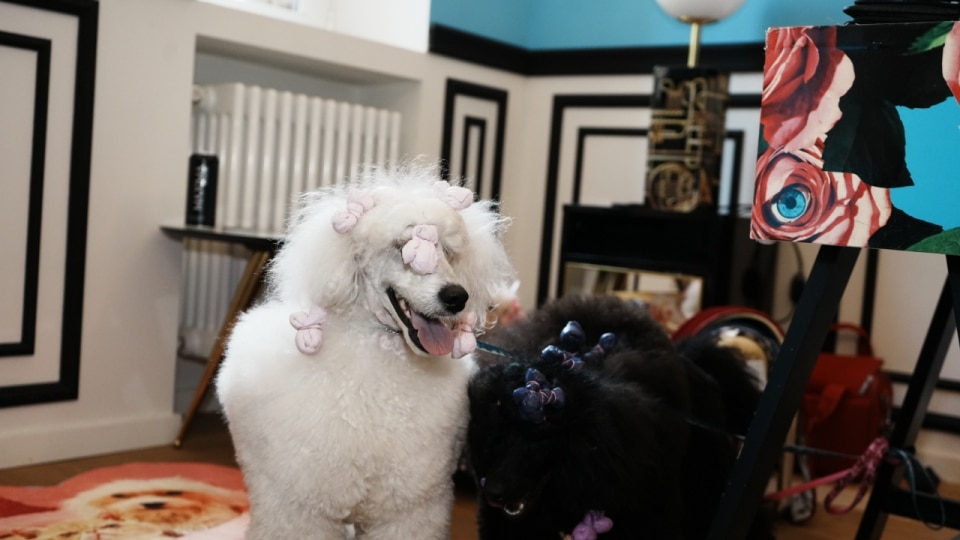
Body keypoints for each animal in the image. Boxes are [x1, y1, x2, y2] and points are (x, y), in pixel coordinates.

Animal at [215, 162, 515, 539]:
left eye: (448, 253)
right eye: (402, 247)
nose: (456, 297)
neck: (379, 356)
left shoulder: (409, 508)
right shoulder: (300, 510)